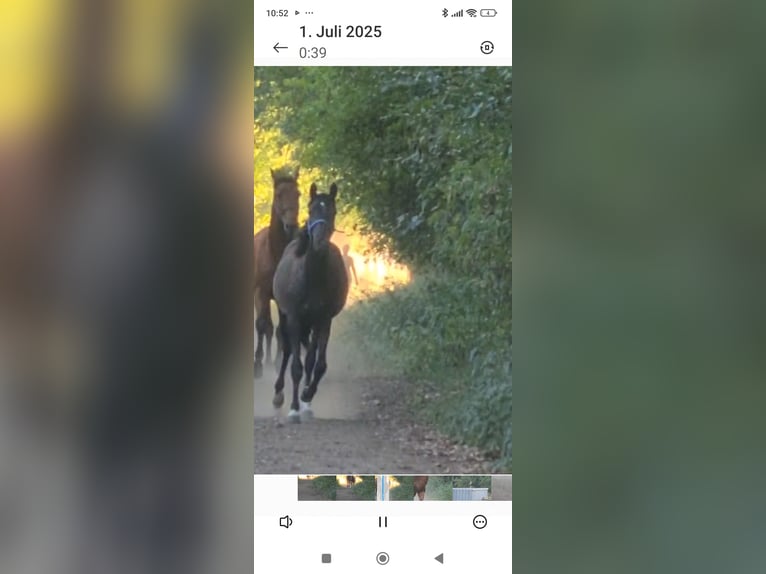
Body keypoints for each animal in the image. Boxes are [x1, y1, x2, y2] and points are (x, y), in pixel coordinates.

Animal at [272, 182, 349, 423]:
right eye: (311, 208)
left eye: (332, 211)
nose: (319, 242)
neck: (312, 278)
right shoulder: (295, 318)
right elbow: (295, 366)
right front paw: (294, 408)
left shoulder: (323, 321)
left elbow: (318, 365)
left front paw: (307, 396)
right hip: (286, 317)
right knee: (287, 350)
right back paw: (278, 396)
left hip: (312, 325)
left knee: (310, 358)